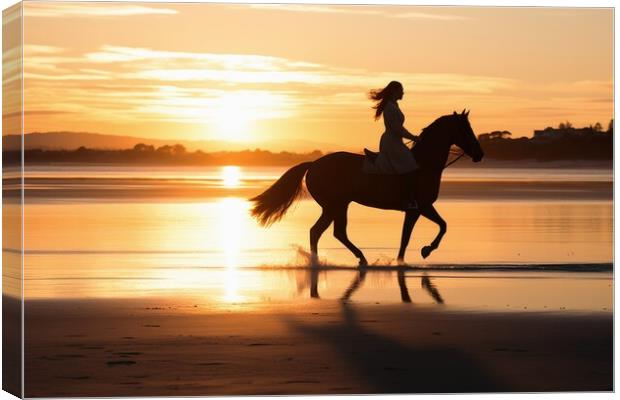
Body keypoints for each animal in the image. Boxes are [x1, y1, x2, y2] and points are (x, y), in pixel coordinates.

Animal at [249, 109, 482, 266]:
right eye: (466, 130)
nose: (480, 155)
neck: (425, 164)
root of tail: (314, 164)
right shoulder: (420, 207)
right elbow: (438, 227)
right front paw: (425, 250)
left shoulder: (416, 210)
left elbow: (409, 237)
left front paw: (404, 260)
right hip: (335, 205)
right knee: (324, 232)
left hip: (338, 205)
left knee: (329, 232)